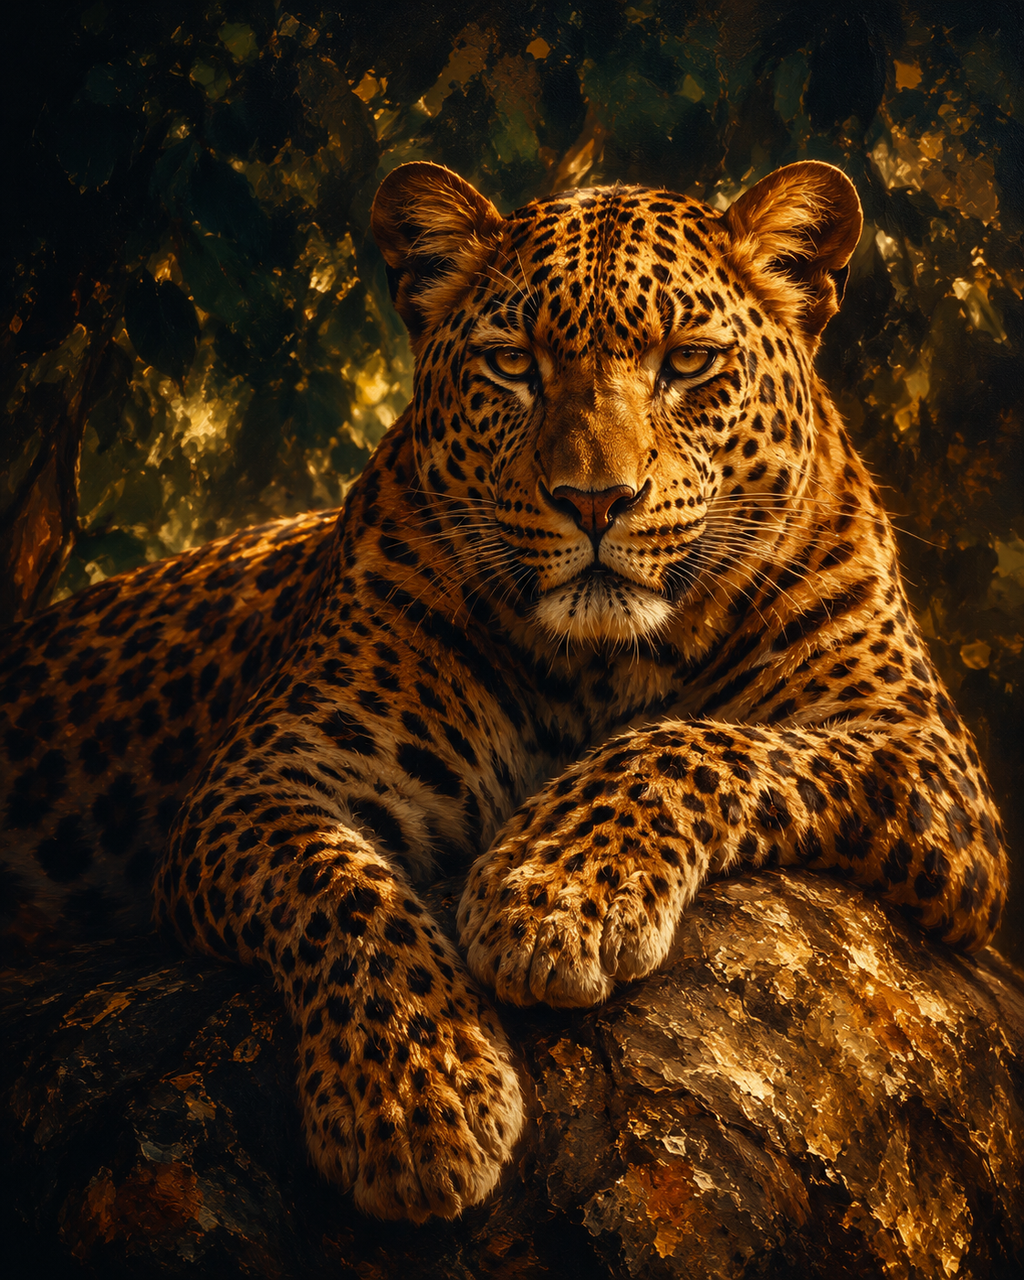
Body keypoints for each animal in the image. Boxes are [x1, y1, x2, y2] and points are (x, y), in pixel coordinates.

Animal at [0, 159, 1009, 1224]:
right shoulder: (263, 777)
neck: (606, 665)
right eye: (513, 364)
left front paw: (557, 895)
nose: (595, 500)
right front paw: (415, 1099)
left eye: (689, 363)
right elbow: (340, 889)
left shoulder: (918, 749)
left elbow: (695, 740)